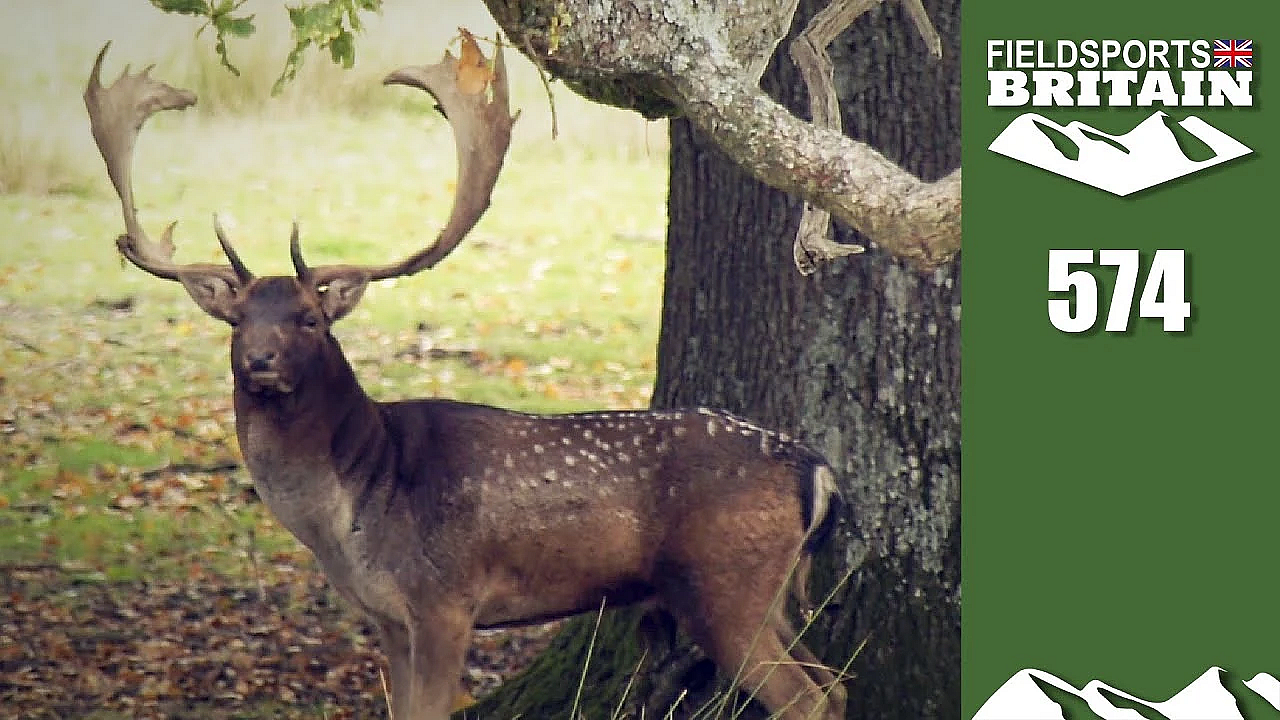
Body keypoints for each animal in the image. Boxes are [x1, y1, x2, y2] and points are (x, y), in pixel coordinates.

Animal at [85, 37, 847, 720]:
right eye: (238, 318)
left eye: (308, 317)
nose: (259, 361)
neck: (356, 507)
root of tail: (814, 468)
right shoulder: (388, 619)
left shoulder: (443, 601)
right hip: (775, 593)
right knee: (835, 685)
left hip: (727, 585)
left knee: (807, 698)